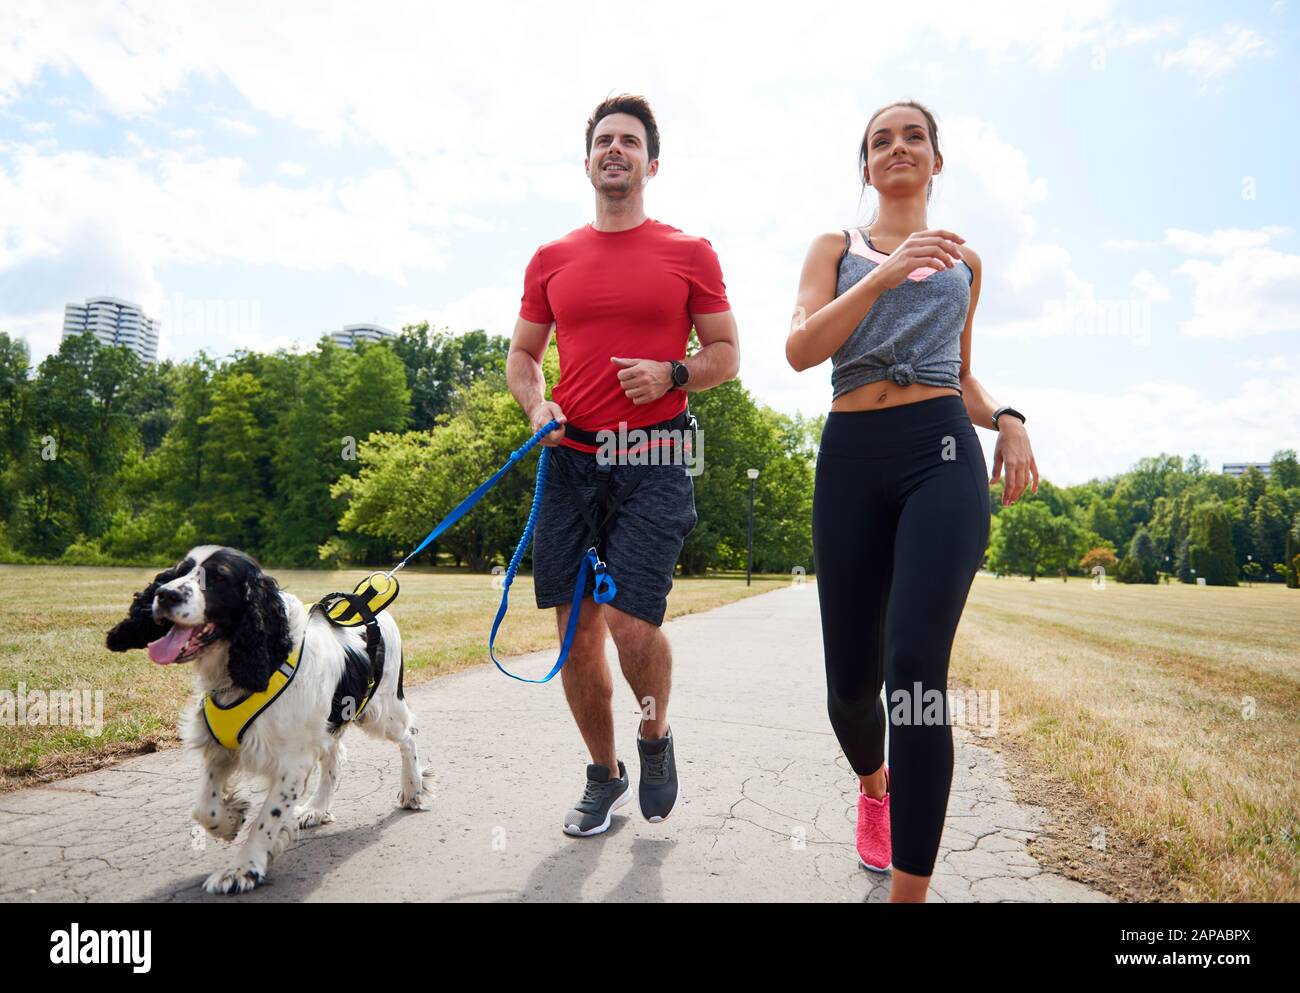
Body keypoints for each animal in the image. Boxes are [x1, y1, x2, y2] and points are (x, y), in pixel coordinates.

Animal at [106, 545, 431, 894]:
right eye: (179, 572)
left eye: (219, 578)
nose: (165, 595)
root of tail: (371, 608)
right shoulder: (221, 747)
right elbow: (204, 807)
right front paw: (230, 820)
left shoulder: (291, 762)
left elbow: (266, 820)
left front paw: (242, 869)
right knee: (335, 758)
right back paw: (316, 809)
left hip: (382, 711)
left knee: (409, 735)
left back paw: (413, 789)